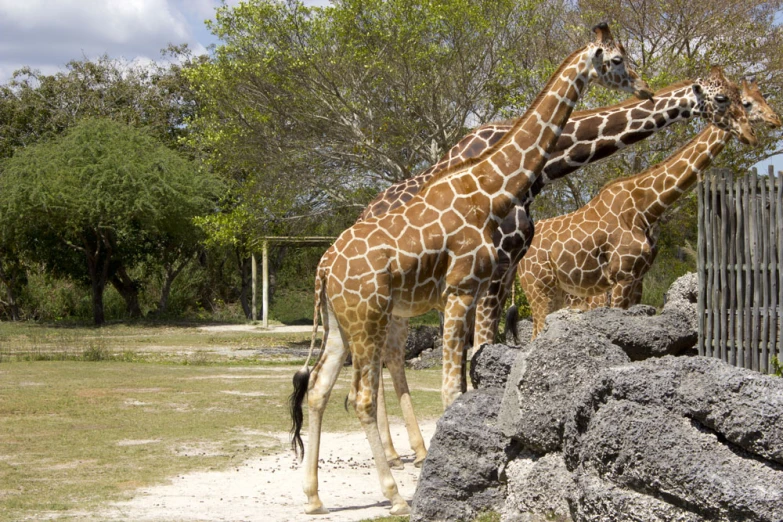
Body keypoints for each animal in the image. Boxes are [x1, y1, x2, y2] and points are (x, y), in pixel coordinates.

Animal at [288, 23, 648, 512]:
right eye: (615, 59)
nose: (644, 87)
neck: (490, 188)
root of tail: (324, 268)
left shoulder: (473, 291)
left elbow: (467, 377)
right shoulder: (460, 290)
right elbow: (452, 388)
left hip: (340, 323)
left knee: (320, 389)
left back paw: (313, 497)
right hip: (368, 317)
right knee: (360, 396)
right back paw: (395, 497)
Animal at [516, 67, 764, 338]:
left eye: (746, 99)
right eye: (728, 99)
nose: (752, 134)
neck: (646, 207)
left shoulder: (637, 278)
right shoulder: (622, 276)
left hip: (558, 291)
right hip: (540, 289)